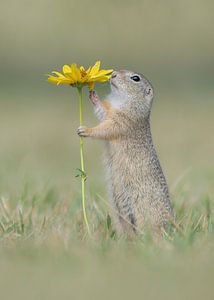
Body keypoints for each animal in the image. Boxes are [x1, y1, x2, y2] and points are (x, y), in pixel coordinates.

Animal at [77, 69, 174, 236]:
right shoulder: (110, 113)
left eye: (135, 78)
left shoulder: (124, 120)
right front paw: (93, 95)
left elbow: (106, 128)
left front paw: (85, 130)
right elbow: (103, 111)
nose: (113, 74)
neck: (122, 101)